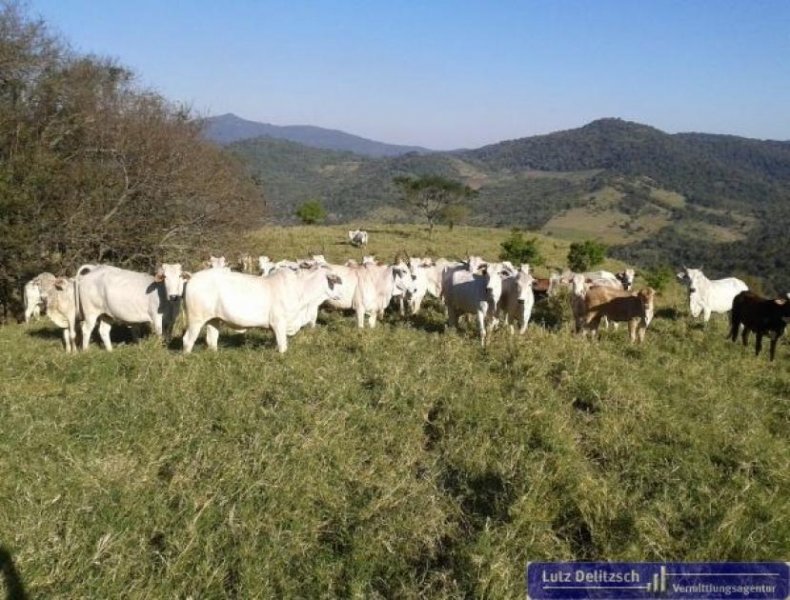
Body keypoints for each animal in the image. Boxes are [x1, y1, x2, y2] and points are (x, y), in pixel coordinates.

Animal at [183, 262, 344, 352]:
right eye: (335, 280)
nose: (342, 295)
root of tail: (191, 278)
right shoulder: (279, 323)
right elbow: (283, 346)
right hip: (196, 319)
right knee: (188, 340)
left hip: (214, 319)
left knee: (212, 340)